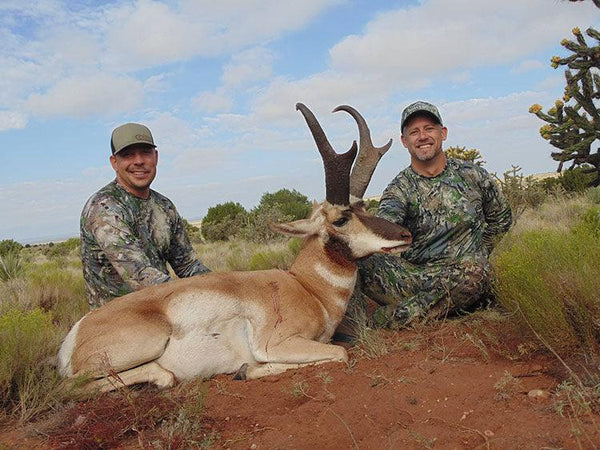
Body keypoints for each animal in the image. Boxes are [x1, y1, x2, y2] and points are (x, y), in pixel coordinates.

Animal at [57, 102, 412, 390]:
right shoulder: (278, 344)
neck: (305, 287)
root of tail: (74, 337)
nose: (405, 235)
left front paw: (244, 371)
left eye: (363, 206)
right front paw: (246, 369)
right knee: (78, 386)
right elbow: (339, 353)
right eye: (340, 219)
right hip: (146, 343)